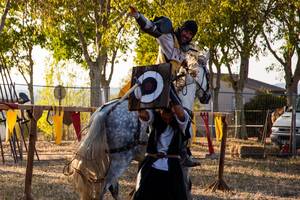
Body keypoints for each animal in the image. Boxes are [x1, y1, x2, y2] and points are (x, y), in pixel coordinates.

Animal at [64, 50, 210, 199]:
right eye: (208, 74)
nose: (207, 97)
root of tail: (104, 112)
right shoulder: (182, 162)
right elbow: (187, 185)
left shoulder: (143, 158)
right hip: (120, 160)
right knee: (105, 187)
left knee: (112, 187)